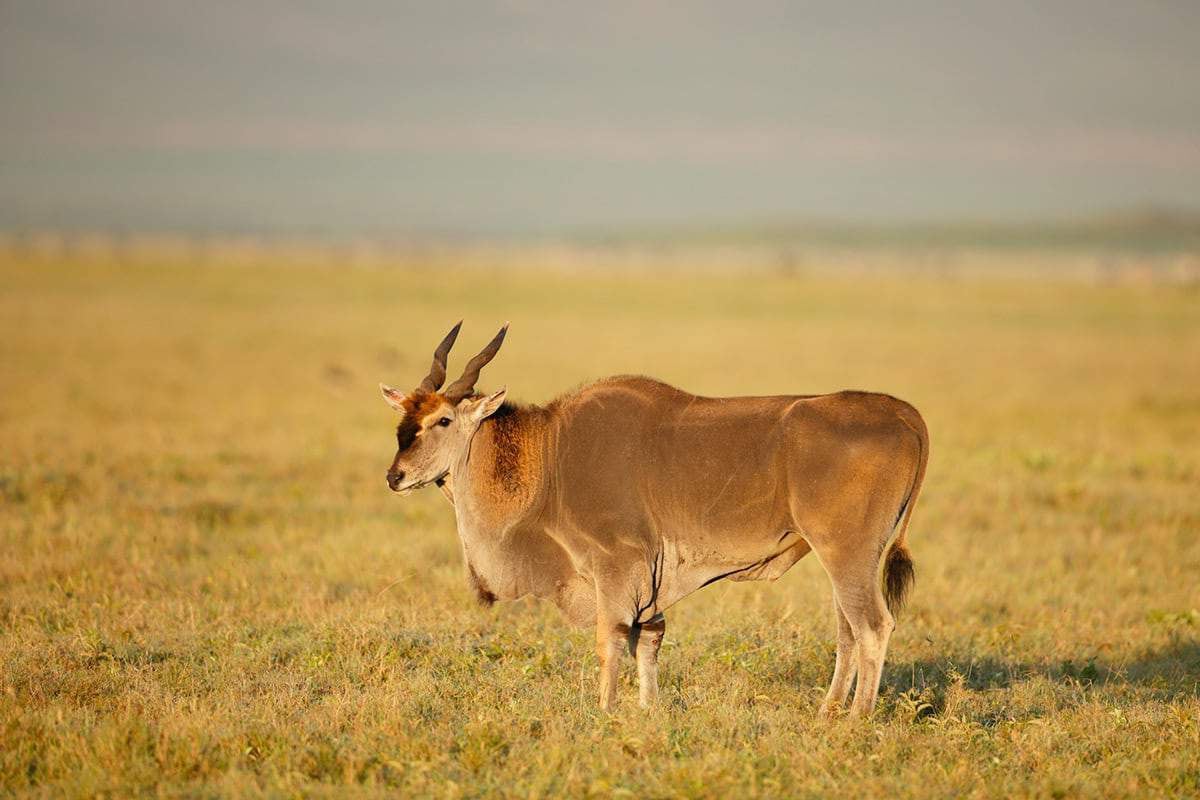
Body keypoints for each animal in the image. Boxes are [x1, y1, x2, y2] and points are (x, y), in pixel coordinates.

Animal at [380, 322, 928, 716]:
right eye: (403, 420)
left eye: (442, 420)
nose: (394, 476)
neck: (550, 451)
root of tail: (904, 415)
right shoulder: (648, 587)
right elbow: (649, 641)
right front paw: (649, 711)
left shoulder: (615, 568)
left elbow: (610, 641)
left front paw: (603, 714)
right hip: (846, 560)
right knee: (848, 630)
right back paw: (827, 714)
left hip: (846, 555)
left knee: (873, 626)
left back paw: (856, 720)